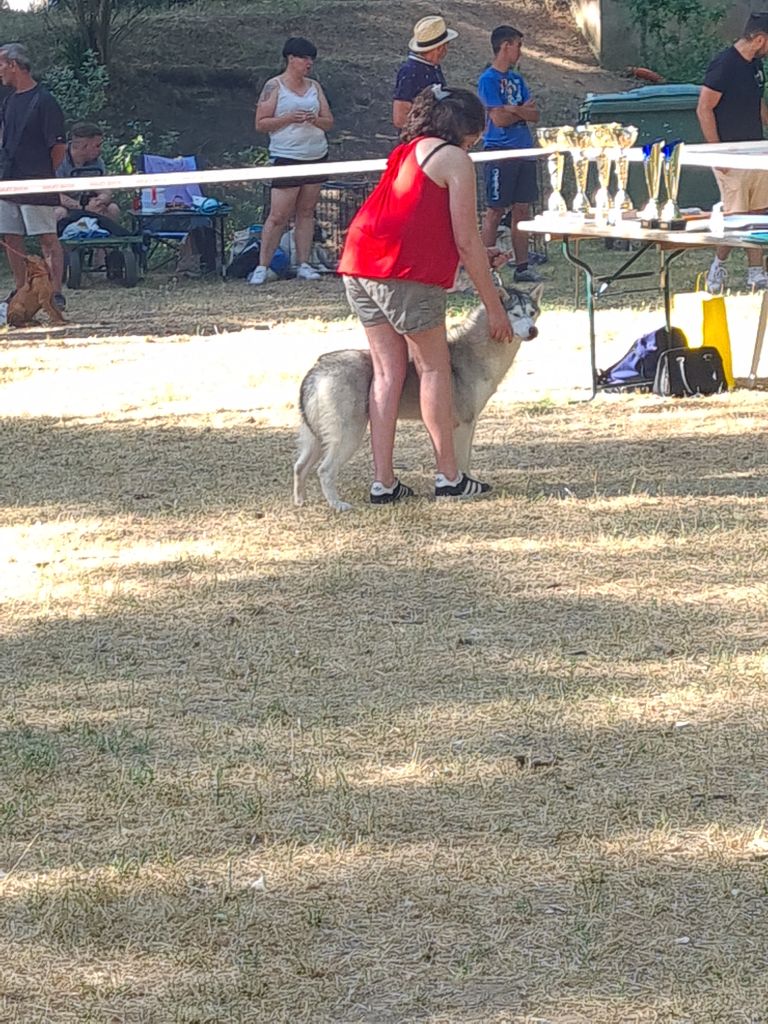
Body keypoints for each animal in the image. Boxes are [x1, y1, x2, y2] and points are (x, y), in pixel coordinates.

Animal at [290, 284, 544, 512]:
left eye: (532, 313)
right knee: (324, 471)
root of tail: (319, 368)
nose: (533, 331)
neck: (481, 352)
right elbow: (463, 461)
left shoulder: (461, 424)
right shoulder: (464, 424)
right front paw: (464, 487)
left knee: (299, 467)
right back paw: (337, 505)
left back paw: (300, 502)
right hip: (349, 435)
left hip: (317, 438)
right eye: (515, 314)